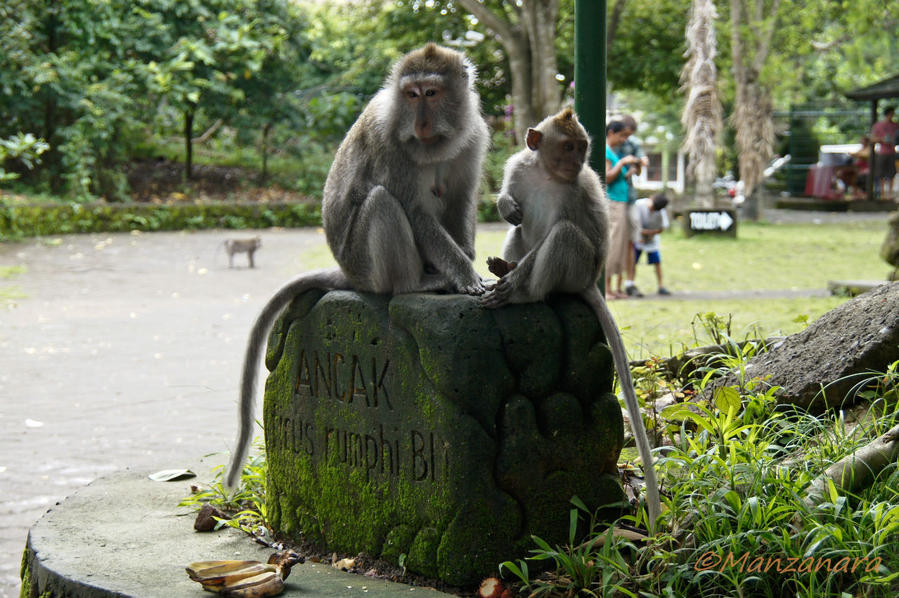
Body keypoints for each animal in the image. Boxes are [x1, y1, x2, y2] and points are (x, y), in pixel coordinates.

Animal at [227, 44, 492, 490]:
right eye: (412, 95)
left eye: (432, 93)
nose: (420, 122)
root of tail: (347, 273)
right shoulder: (389, 143)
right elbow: (414, 210)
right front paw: (465, 277)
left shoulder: (473, 137)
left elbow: (460, 198)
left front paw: (470, 263)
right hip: (364, 262)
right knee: (383, 201)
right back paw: (415, 283)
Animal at [486, 108, 660, 536]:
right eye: (568, 146)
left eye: (582, 148)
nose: (578, 161)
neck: (547, 173)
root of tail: (588, 280)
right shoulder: (520, 165)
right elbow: (512, 204)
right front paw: (504, 203)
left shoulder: (574, 191)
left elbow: (558, 231)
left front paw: (516, 282)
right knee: (519, 231)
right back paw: (503, 268)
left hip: (576, 269)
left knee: (562, 236)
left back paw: (522, 290)